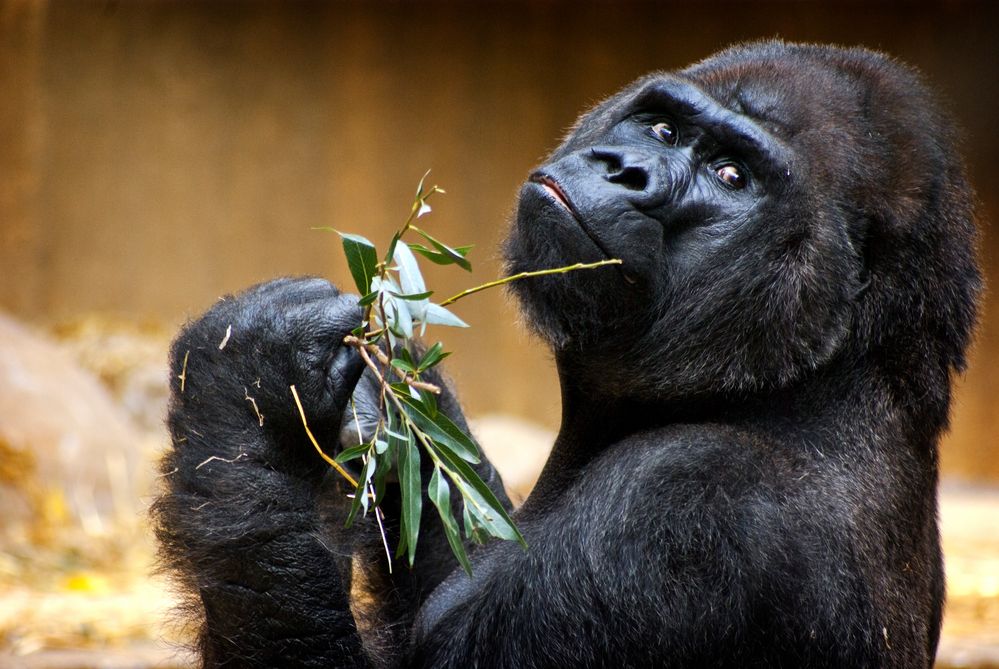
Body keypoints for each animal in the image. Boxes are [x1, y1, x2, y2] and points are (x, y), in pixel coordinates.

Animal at [154, 43, 976, 668]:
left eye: (731, 176)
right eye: (662, 128)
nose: (624, 168)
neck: (827, 373)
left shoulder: (682, 505)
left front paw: (247, 397)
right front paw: (382, 389)